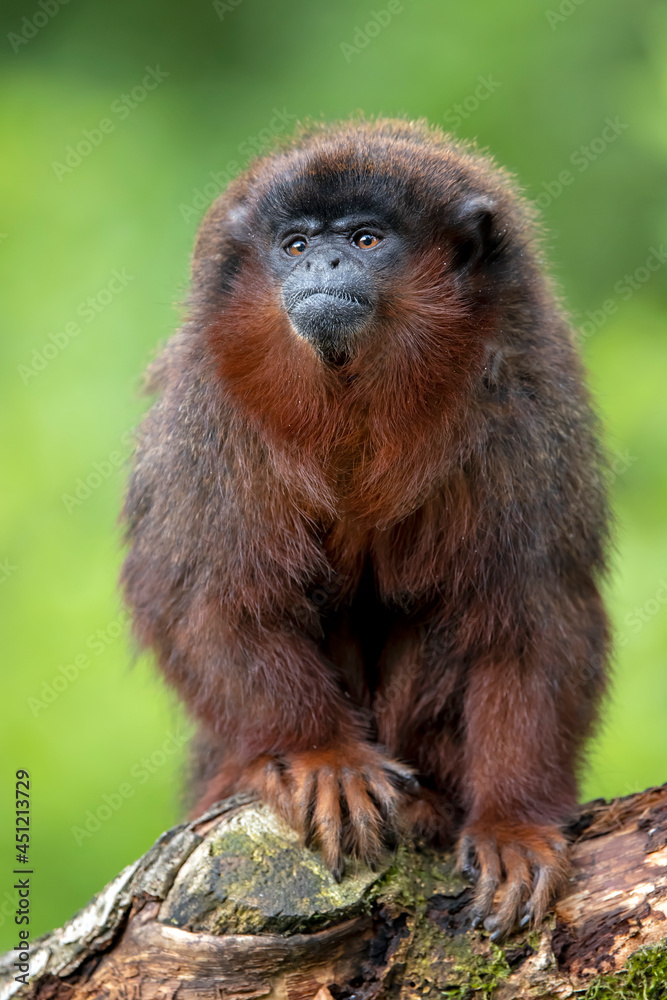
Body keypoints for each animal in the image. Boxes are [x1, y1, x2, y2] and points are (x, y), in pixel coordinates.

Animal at [120, 117, 612, 936]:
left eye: (365, 238)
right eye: (294, 245)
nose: (323, 260)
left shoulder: (521, 399)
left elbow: (534, 615)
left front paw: (513, 822)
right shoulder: (214, 411)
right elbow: (209, 594)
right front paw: (322, 756)